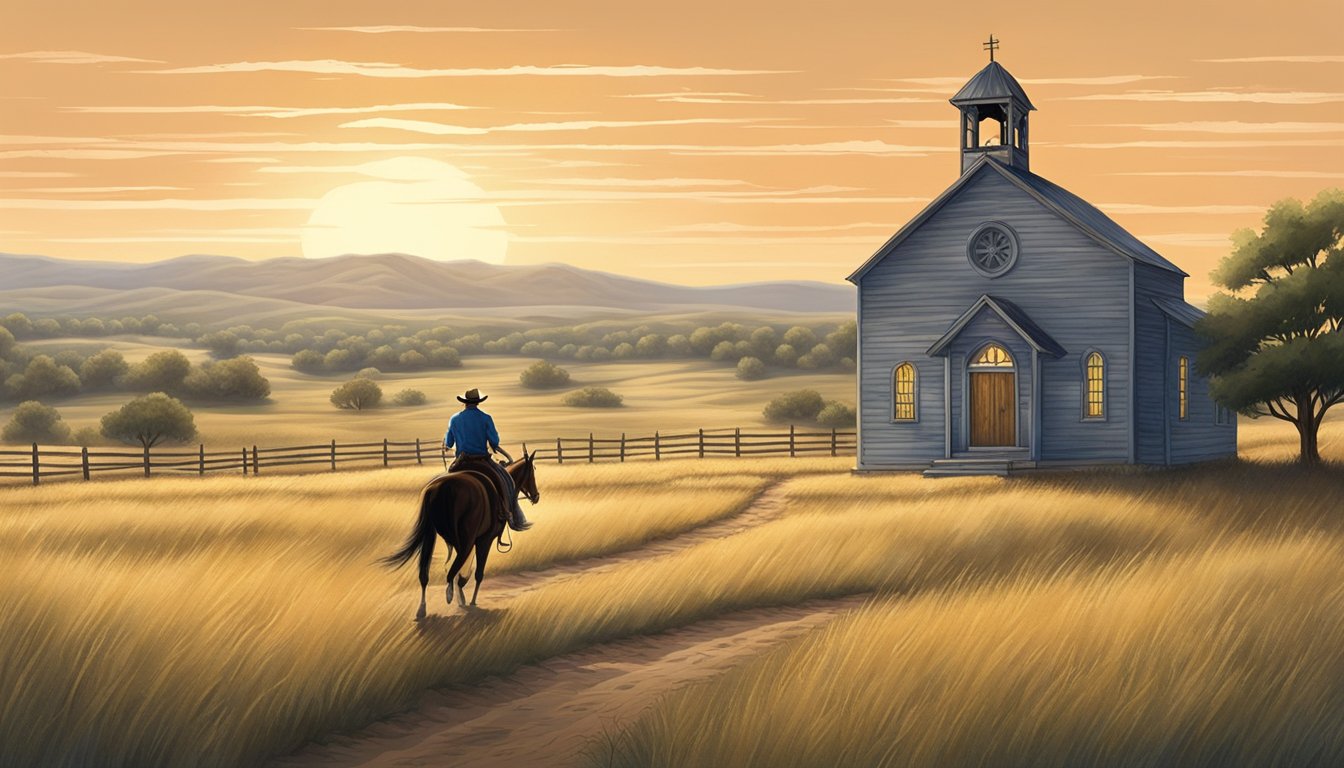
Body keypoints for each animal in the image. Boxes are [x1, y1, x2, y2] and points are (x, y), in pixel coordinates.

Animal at [381, 451, 537, 618]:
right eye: (533, 471)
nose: (536, 496)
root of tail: (444, 489)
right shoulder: (484, 539)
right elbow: (478, 572)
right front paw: (472, 600)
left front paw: (461, 594)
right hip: (466, 538)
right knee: (455, 565)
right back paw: (452, 592)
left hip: (433, 533)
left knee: (426, 572)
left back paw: (423, 608)